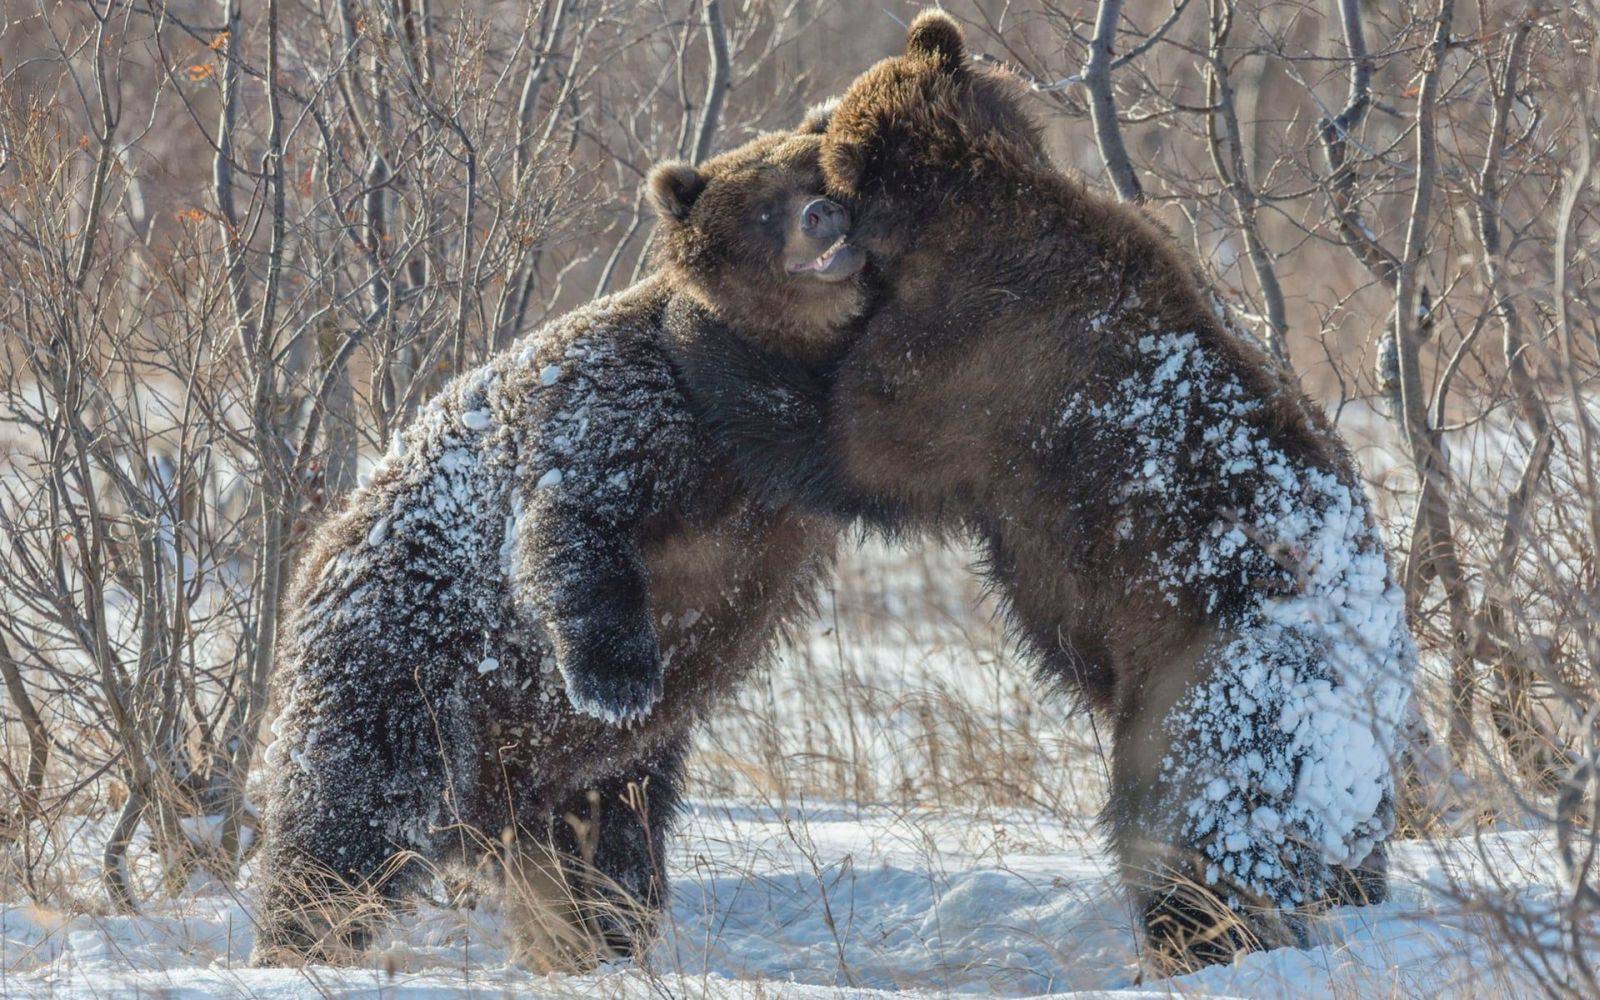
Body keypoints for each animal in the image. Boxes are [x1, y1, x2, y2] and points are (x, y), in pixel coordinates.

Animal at [254, 123, 870, 966]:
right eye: (767, 201)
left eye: (823, 171)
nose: (822, 215)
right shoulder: (621, 411)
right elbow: (574, 527)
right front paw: (618, 678)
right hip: (404, 679)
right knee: (346, 823)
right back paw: (301, 941)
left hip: (587, 775)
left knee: (609, 848)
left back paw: (597, 939)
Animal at [694, 11, 1420, 972]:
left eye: (819, 135)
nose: (800, 139)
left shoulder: (973, 357)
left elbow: (853, 439)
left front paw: (711, 340)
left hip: (1217, 681)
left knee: (1189, 825)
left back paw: (1198, 939)